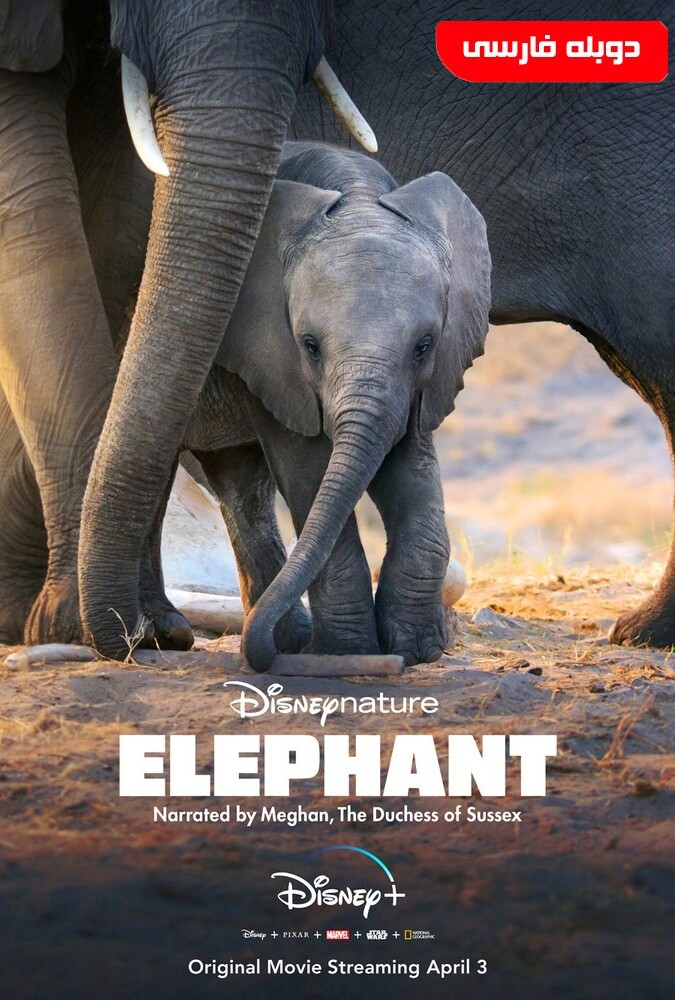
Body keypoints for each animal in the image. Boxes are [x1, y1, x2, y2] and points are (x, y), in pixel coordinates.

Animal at [179, 141, 490, 671]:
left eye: (424, 346)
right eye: (310, 346)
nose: (259, 655)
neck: (356, 195)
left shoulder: (422, 385)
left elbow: (410, 467)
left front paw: (418, 651)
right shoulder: (270, 353)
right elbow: (308, 469)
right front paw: (351, 652)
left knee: (239, 483)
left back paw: (287, 640)